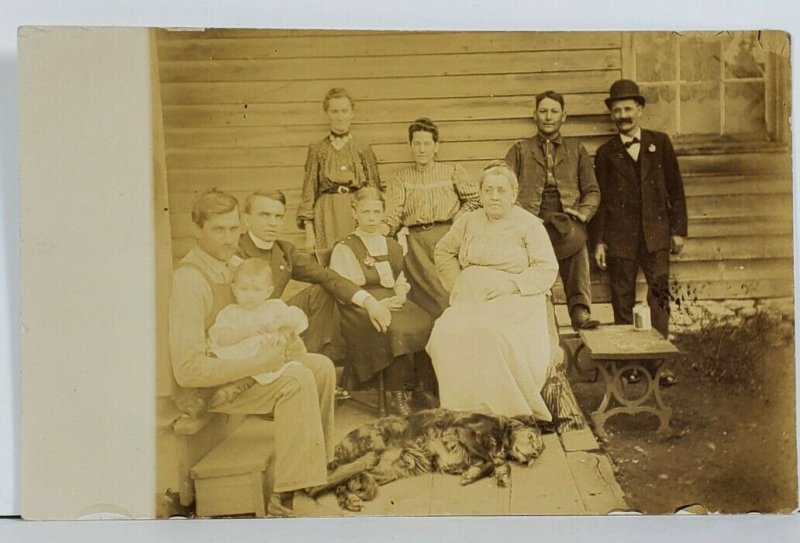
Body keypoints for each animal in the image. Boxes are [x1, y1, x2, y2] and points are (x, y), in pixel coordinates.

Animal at [304, 410, 544, 512]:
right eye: (532, 437)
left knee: (343, 484)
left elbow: (493, 463)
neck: (500, 433)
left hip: (386, 470)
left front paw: (496, 474)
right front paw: (480, 473)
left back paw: (350, 500)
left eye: (540, 450)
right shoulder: (463, 430)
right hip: (371, 455)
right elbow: (491, 461)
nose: (534, 454)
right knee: (320, 485)